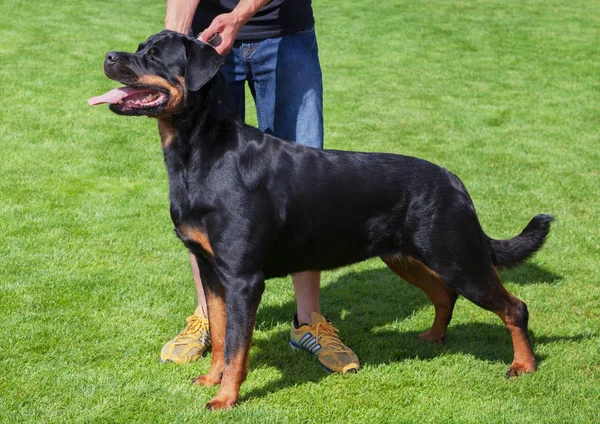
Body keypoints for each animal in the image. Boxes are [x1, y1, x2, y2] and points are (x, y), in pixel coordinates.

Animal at [89, 31, 552, 410]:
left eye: (153, 56)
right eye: (139, 48)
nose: (109, 56)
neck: (200, 152)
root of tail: (455, 182)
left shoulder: (242, 278)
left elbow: (238, 345)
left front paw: (226, 398)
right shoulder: (211, 271)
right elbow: (220, 336)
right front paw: (211, 379)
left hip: (456, 254)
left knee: (513, 307)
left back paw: (522, 365)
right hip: (406, 256)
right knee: (444, 295)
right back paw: (434, 338)